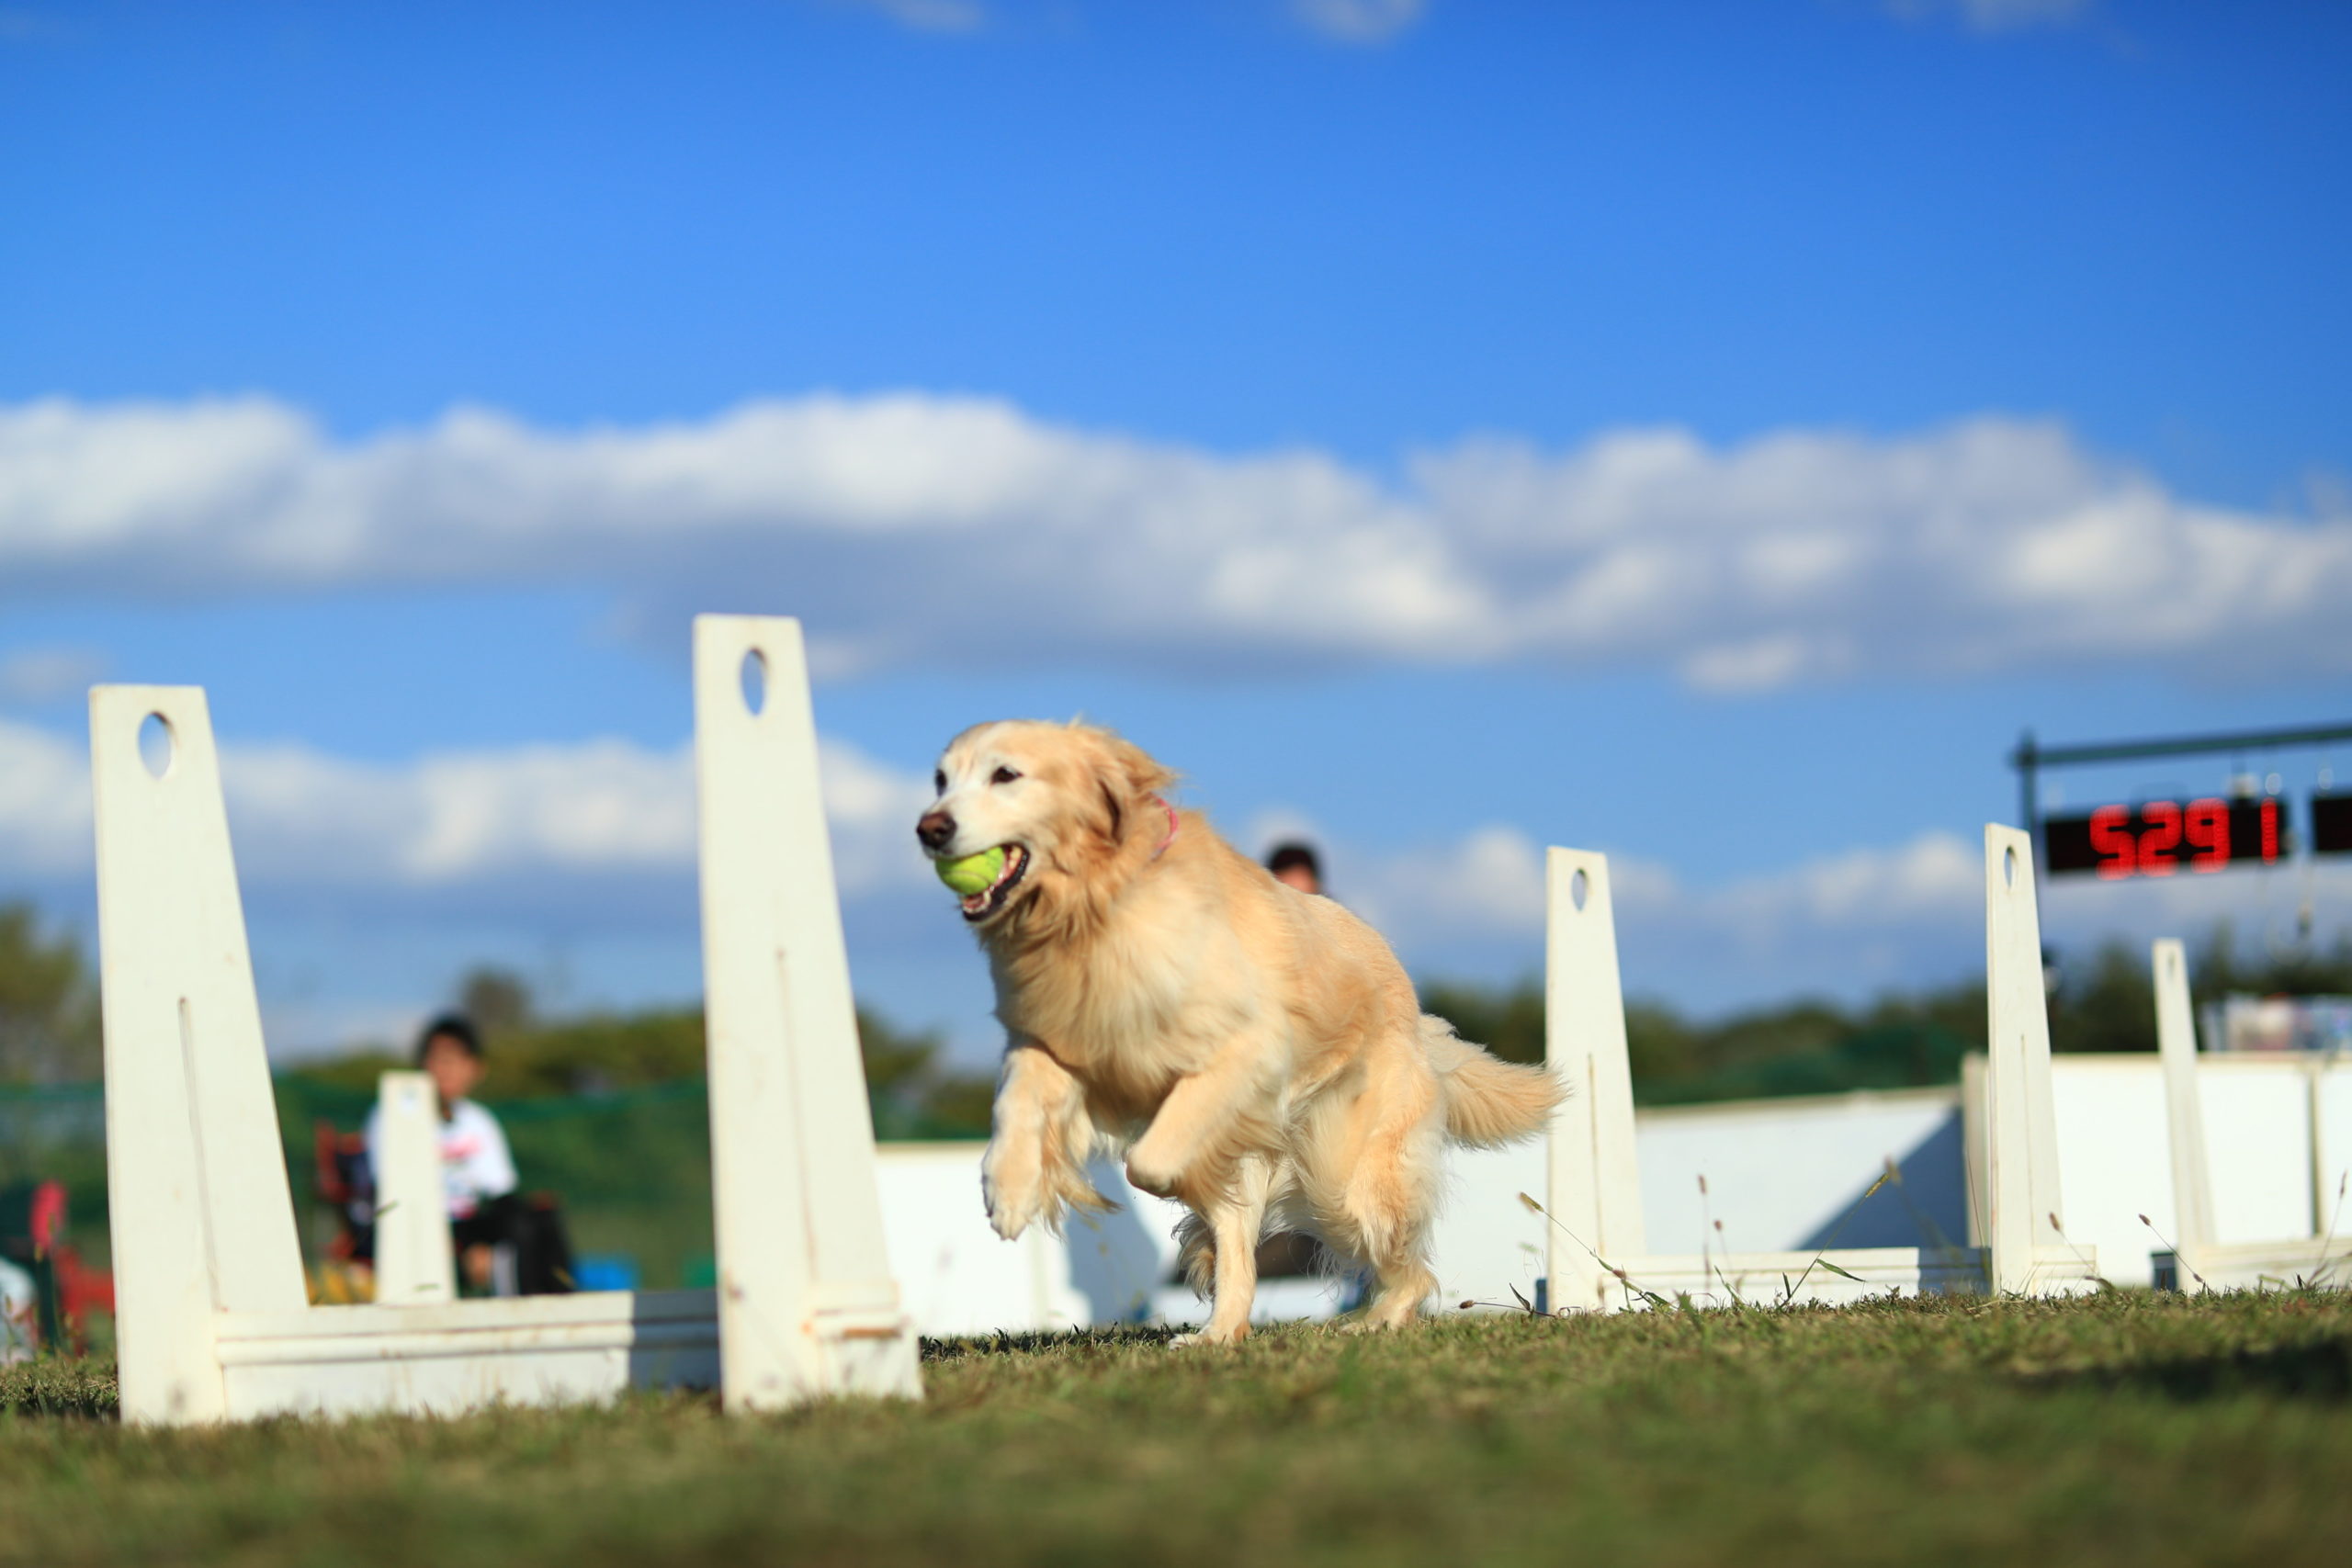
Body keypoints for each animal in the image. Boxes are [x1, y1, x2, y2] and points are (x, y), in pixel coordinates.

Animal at [917, 724, 1561, 1354]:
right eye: (941, 780)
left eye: (1006, 774)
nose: (930, 828)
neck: (1096, 911)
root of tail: (1414, 1010)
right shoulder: (1054, 1040)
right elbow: (1018, 1107)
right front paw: (1008, 1192)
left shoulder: (1242, 1055)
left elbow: (1149, 1162)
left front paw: (1186, 1188)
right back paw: (1219, 1329)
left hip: (1341, 1176)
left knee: (1406, 1267)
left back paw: (1372, 1319)